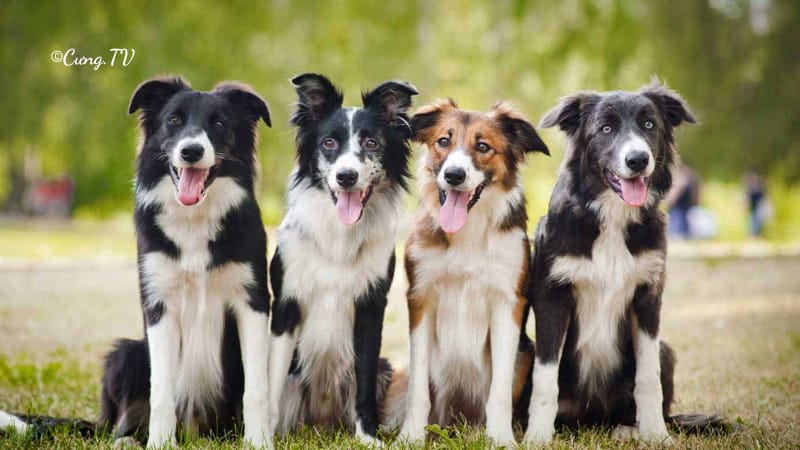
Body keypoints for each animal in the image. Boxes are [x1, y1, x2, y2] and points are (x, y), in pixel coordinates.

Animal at [268, 73, 418, 442]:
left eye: (372, 143)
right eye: (329, 144)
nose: (346, 177)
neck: (338, 235)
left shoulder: (370, 306)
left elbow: (363, 384)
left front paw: (368, 438)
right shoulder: (285, 305)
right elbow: (271, 384)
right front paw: (261, 435)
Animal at [390, 99, 552, 446]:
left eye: (483, 146)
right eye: (443, 141)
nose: (454, 175)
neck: (468, 231)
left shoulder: (508, 303)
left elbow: (499, 391)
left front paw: (501, 438)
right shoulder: (421, 298)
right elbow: (418, 392)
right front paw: (410, 437)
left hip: (525, 355)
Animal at [524, 82, 720, 444]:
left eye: (649, 125)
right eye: (605, 129)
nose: (638, 159)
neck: (612, 216)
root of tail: (593, 415)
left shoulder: (648, 296)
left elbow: (648, 378)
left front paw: (656, 435)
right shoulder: (552, 296)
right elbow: (546, 376)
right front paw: (537, 437)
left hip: (666, 350)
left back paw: (629, 428)